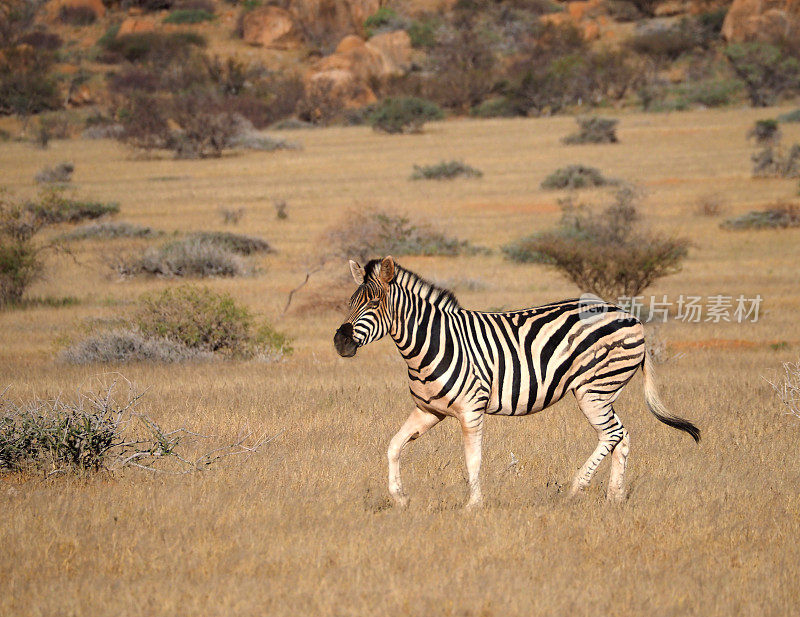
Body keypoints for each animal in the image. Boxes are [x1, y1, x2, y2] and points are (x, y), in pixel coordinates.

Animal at [334, 254, 696, 506]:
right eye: (350, 303)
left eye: (374, 303)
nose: (340, 342)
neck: (430, 344)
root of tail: (629, 315)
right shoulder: (429, 411)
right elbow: (393, 446)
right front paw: (400, 497)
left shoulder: (471, 410)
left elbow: (473, 459)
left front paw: (473, 505)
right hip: (605, 391)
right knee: (623, 436)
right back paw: (615, 497)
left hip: (593, 389)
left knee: (612, 434)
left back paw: (574, 489)